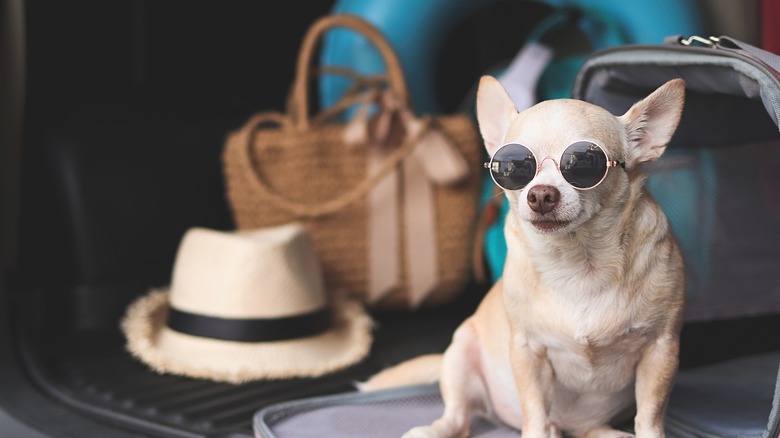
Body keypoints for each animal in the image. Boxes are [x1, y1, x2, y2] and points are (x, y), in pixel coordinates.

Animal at [362, 76, 684, 438]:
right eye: (514, 167)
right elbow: (535, 413)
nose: (541, 194)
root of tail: (570, 426)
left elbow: (649, 417)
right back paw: (431, 430)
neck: (579, 262)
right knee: (459, 418)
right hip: (460, 351)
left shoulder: (661, 349)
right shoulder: (528, 352)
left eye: (585, 163)